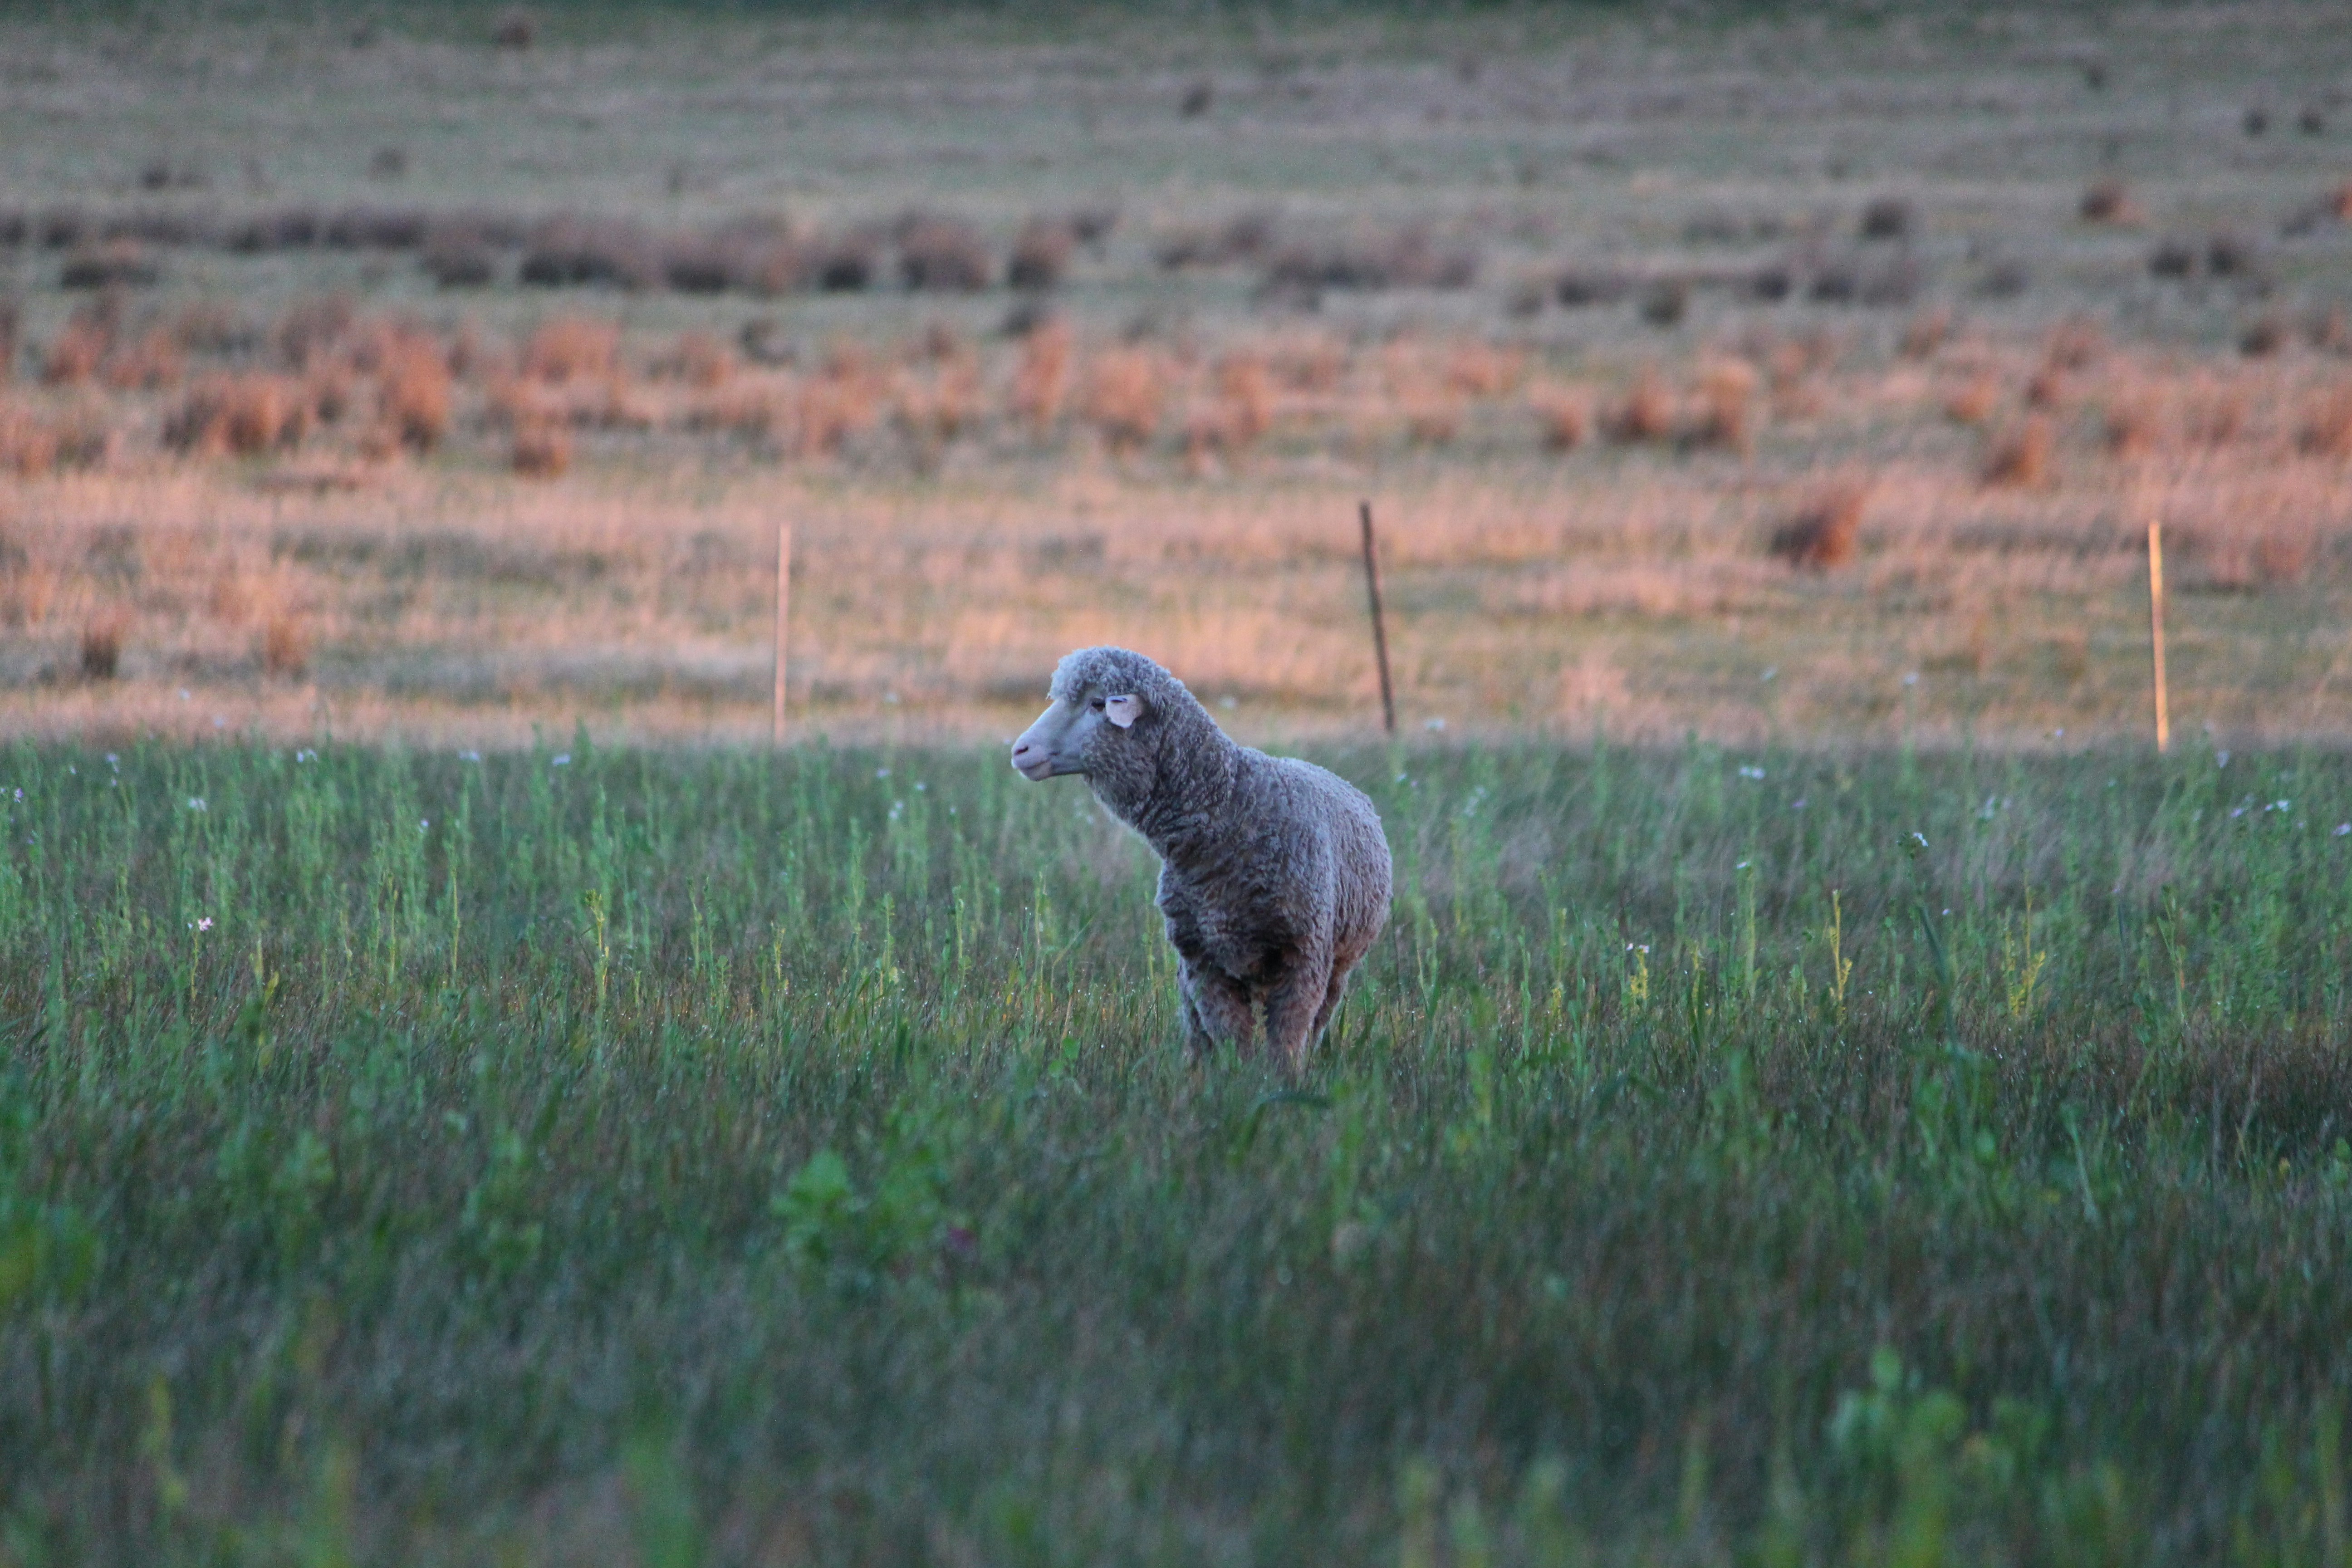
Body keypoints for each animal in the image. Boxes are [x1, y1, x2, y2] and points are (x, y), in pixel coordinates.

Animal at [1011, 646, 1392, 1073]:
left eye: (1097, 704)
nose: (1020, 750)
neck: (1231, 804)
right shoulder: (1203, 961)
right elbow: (1231, 1038)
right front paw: (1234, 1081)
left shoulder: (1302, 955)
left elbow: (1287, 1041)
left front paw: (1283, 1083)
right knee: (1196, 1030)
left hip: (1338, 964)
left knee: (1319, 1021)